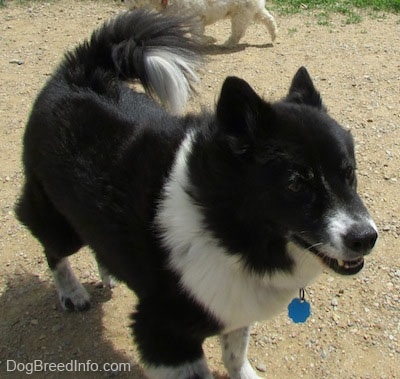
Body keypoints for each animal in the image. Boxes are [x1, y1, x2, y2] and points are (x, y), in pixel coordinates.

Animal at [16, 8, 378, 379]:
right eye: (295, 184)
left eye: (349, 173)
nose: (366, 238)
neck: (222, 224)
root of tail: (79, 72)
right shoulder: (164, 333)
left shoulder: (233, 308)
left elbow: (235, 353)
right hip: (55, 217)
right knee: (53, 250)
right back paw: (72, 293)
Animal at [122, 0, 278, 46]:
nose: (122, 1)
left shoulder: (195, 18)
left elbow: (197, 36)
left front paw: (209, 40)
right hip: (253, 10)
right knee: (268, 19)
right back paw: (274, 35)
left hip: (240, 14)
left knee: (238, 32)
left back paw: (228, 44)